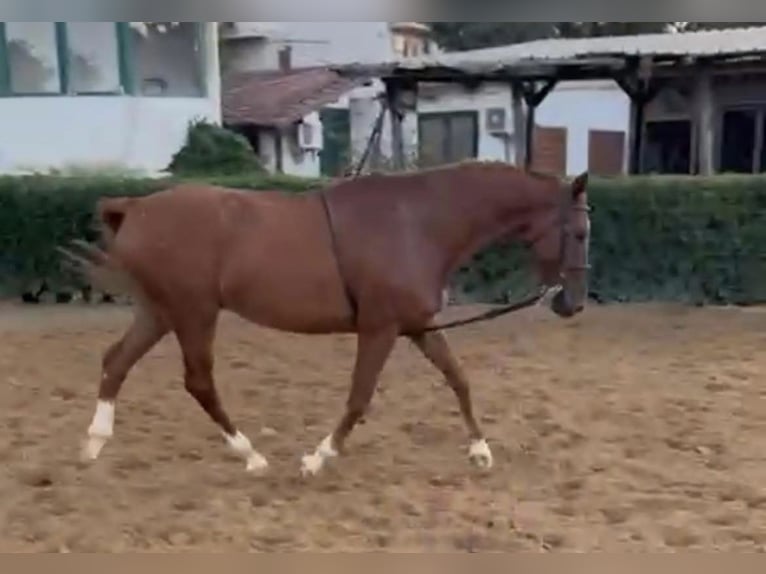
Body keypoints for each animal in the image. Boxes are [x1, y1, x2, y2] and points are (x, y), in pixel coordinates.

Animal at [60, 160, 591, 478]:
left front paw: (480, 450)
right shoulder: (380, 329)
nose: (573, 304)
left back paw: (93, 444)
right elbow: (358, 398)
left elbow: (458, 379)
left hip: (160, 311)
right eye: (582, 231)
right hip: (193, 312)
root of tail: (135, 208)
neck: (417, 223)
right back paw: (251, 455)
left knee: (116, 361)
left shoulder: (416, 325)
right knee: (198, 382)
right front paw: (317, 457)